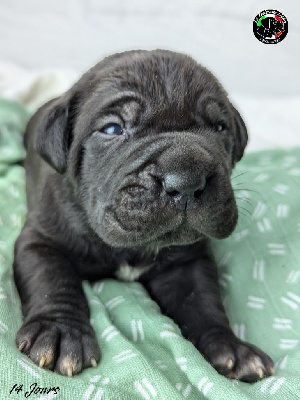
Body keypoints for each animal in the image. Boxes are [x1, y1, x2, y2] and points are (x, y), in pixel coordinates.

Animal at [13, 50, 274, 382]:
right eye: (112, 129)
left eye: (219, 128)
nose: (186, 181)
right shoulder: (41, 240)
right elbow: (52, 279)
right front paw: (59, 331)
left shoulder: (187, 263)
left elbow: (202, 301)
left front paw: (231, 347)